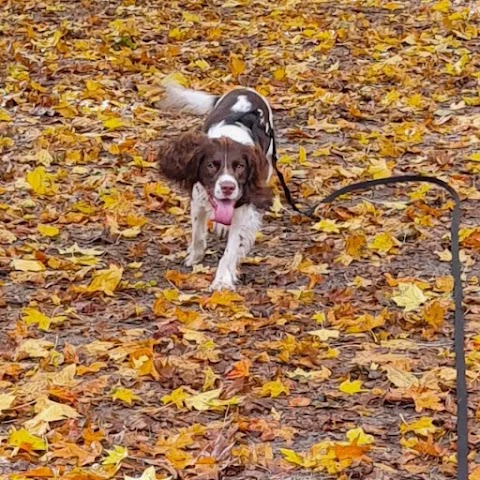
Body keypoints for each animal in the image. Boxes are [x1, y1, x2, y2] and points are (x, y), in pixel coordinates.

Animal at [159, 84, 276, 290]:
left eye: (240, 166)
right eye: (211, 165)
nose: (228, 187)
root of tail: (244, 89)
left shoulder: (243, 209)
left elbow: (231, 250)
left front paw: (222, 281)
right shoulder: (198, 198)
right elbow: (197, 233)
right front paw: (194, 256)